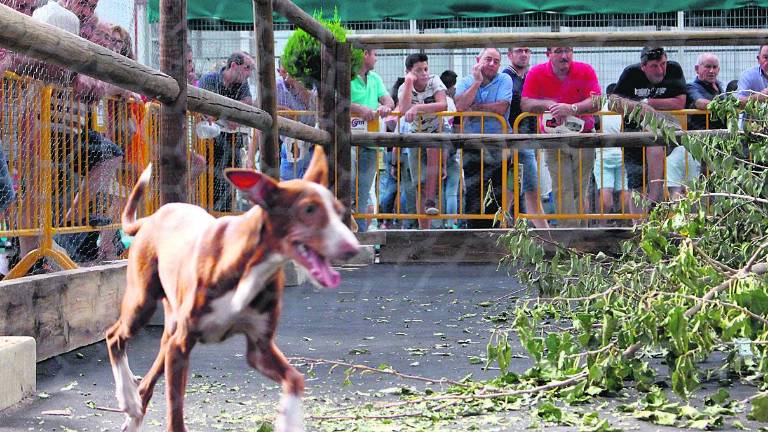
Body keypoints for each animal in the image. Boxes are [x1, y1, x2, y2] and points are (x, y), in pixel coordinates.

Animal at [105, 147, 360, 430]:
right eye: (309, 209)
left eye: (338, 211)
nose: (353, 248)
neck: (251, 266)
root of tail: (152, 217)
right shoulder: (180, 346)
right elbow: (175, 413)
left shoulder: (259, 349)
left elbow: (295, 379)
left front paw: (288, 419)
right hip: (143, 303)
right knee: (114, 336)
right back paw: (127, 398)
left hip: (170, 331)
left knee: (148, 381)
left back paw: (134, 411)